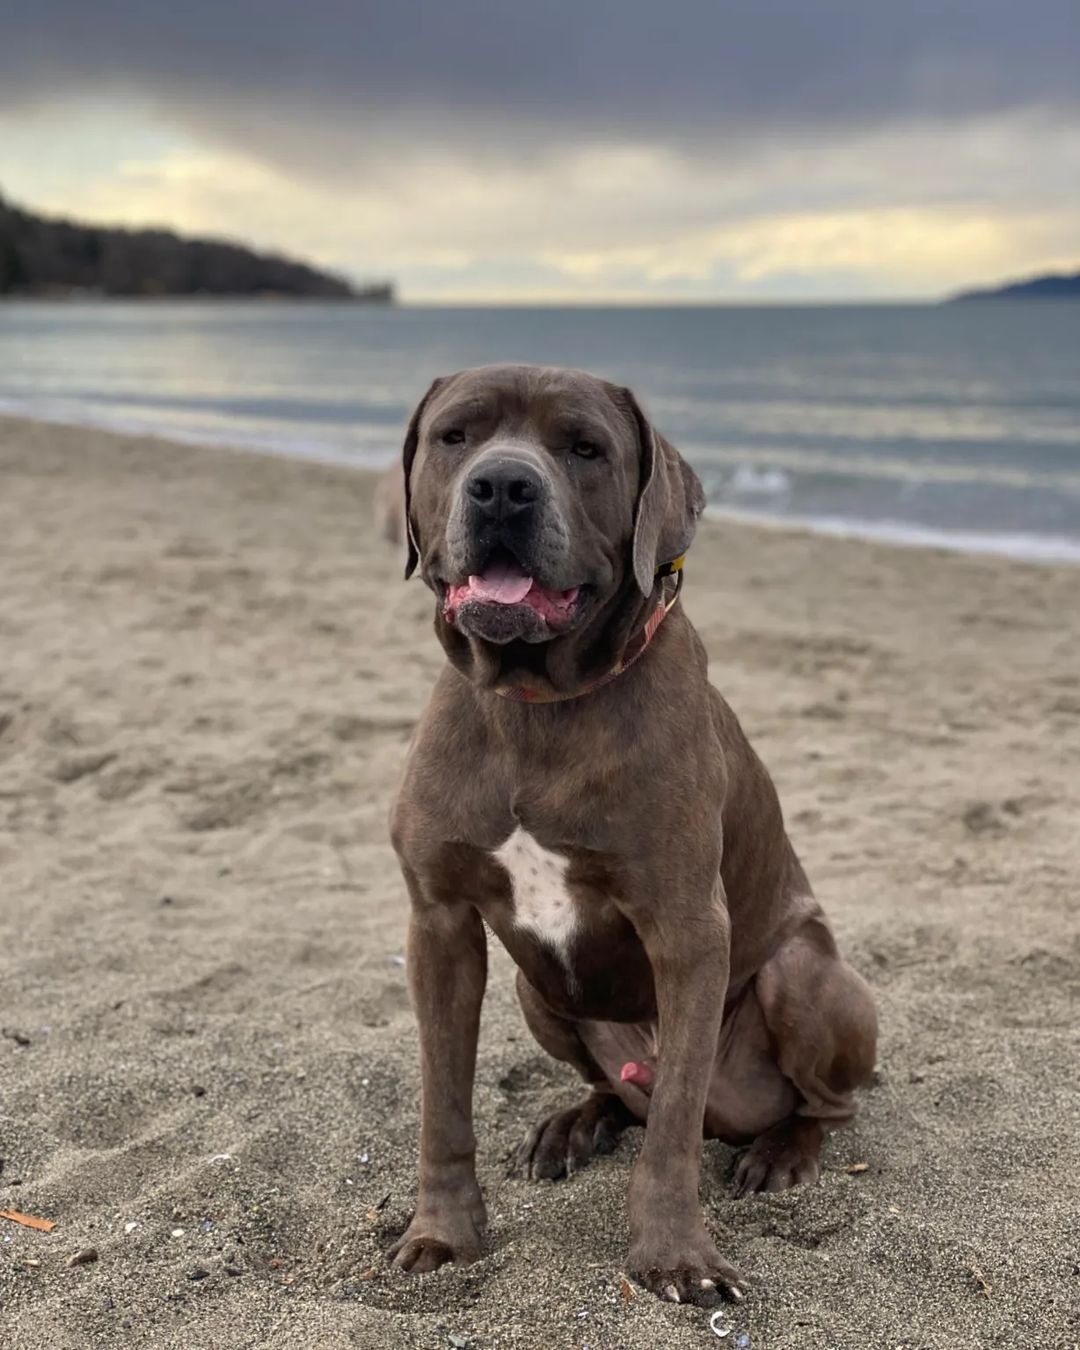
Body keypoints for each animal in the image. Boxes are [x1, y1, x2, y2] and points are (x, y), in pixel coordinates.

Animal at [388, 364, 874, 1301]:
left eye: (585, 448)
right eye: (456, 436)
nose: (503, 487)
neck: (536, 707)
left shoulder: (687, 930)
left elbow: (674, 1131)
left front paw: (674, 1256)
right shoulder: (439, 923)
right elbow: (441, 1107)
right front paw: (443, 1235)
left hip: (803, 976)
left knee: (819, 1104)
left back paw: (782, 1152)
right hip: (538, 993)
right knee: (623, 1094)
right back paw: (577, 1123)